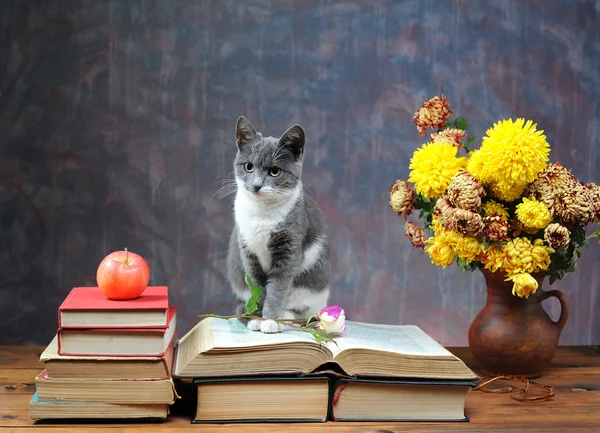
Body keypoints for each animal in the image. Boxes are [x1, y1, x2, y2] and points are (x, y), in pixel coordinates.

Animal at [225, 116, 330, 332]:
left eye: (274, 171)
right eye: (248, 167)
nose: (257, 185)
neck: (262, 214)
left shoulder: (289, 251)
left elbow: (276, 288)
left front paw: (270, 320)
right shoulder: (248, 252)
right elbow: (257, 287)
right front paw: (256, 317)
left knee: (301, 311)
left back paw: (285, 316)